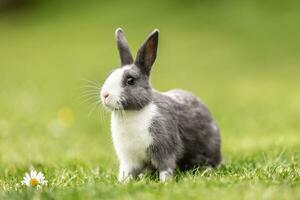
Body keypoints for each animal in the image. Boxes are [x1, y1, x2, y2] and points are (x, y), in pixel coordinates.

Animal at [99, 28, 221, 183]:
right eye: (110, 75)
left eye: (130, 81)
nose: (105, 95)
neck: (133, 112)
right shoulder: (129, 159)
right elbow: (126, 172)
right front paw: (122, 182)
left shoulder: (164, 149)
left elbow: (166, 167)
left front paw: (165, 182)